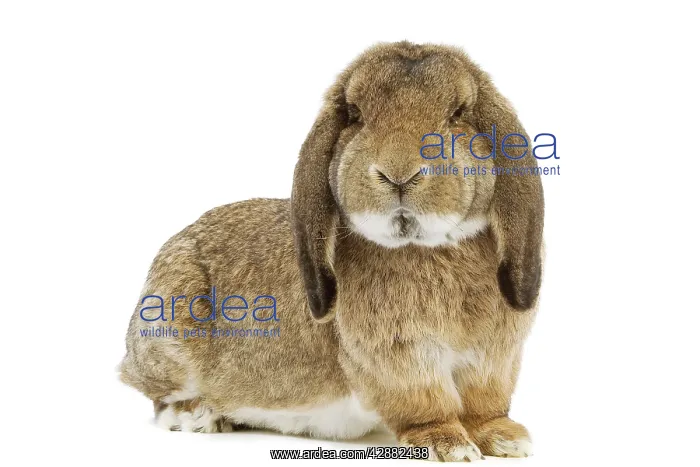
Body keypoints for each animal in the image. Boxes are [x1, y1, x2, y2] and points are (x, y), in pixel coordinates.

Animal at [120, 41, 544, 462]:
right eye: (355, 115)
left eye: (458, 114)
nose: (399, 173)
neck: (428, 246)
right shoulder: (398, 357)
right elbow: (426, 403)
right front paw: (449, 445)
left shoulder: (495, 358)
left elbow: (483, 404)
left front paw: (506, 439)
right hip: (168, 332)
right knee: (155, 395)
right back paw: (197, 415)